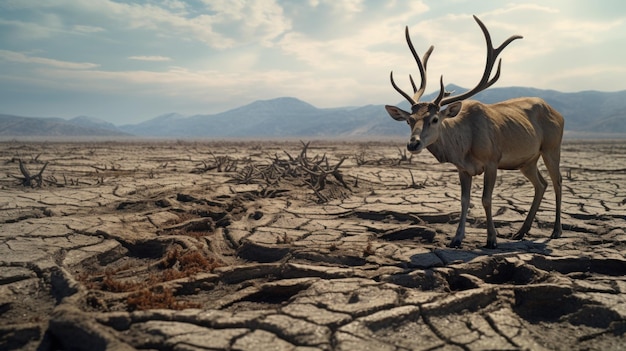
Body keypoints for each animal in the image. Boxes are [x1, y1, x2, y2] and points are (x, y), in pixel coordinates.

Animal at [382, 15, 564, 249]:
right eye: (409, 120)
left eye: (434, 119)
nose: (413, 144)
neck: (464, 145)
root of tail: (559, 114)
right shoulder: (463, 169)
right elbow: (464, 200)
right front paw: (456, 238)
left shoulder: (493, 160)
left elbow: (486, 199)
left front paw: (491, 239)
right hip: (527, 160)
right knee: (541, 184)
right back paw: (521, 231)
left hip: (552, 147)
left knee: (557, 181)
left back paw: (556, 231)